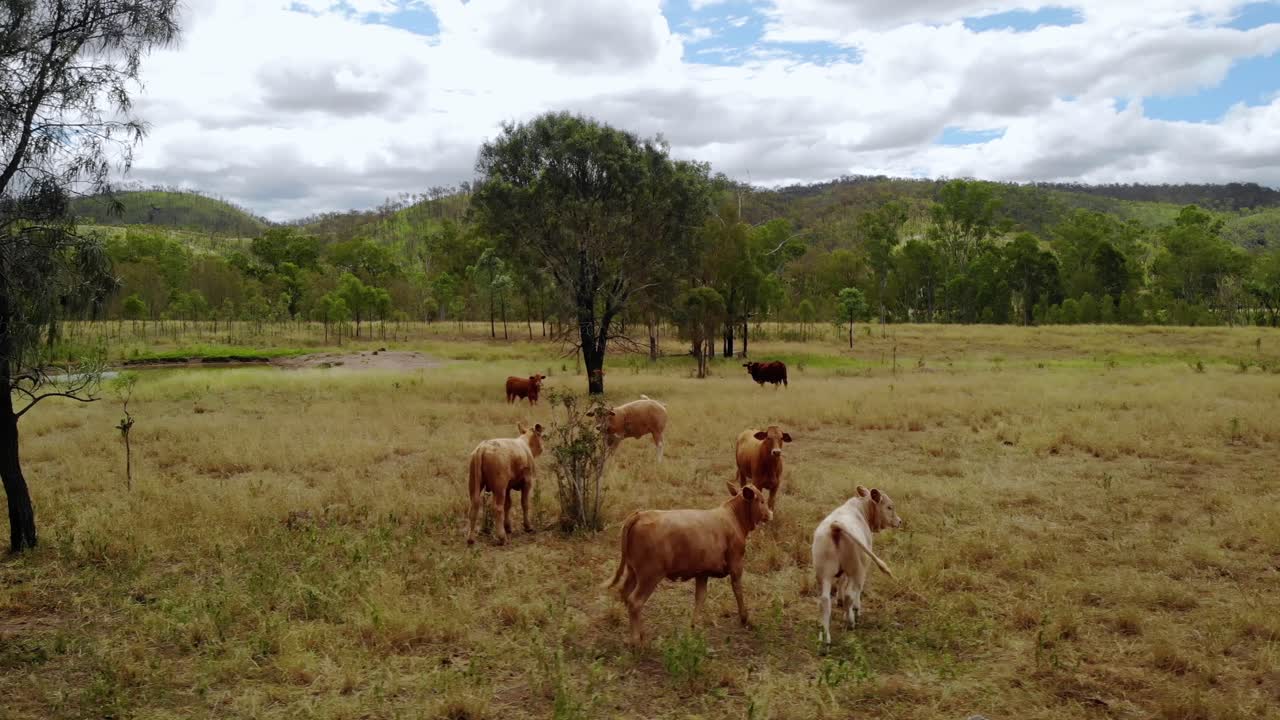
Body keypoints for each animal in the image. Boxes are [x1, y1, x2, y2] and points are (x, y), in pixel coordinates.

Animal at [606, 480, 773, 645]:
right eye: (761, 500)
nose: (770, 513)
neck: (733, 518)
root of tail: (640, 514)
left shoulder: (702, 573)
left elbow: (700, 597)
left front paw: (694, 625)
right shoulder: (736, 564)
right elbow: (738, 590)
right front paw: (745, 618)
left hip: (633, 571)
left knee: (626, 595)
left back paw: (639, 635)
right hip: (650, 575)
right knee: (635, 602)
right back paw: (636, 641)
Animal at [811, 486, 902, 644]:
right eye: (889, 507)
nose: (899, 521)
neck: (861, 509)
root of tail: (835, 525)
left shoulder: (843, 572)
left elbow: (841, 582)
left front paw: (839, 600)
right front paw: (855, 610)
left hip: (823, 574)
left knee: (824, 601)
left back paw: (826, 637)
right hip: (858, 570)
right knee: (851, 594)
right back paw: (851, 620)